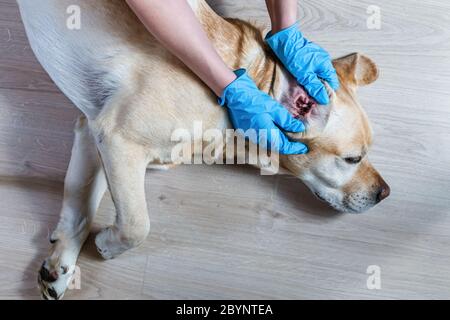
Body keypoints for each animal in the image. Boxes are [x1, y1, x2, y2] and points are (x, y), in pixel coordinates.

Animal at [16, 0, 390, 300]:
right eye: (352, 158)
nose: (384, 194)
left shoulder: (92, 133)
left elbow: (79, 207)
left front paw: (59, 266)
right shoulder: (118, 139)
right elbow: (137, 224)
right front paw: (107, 244)